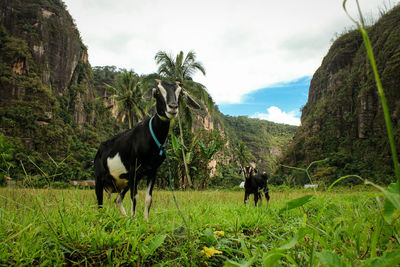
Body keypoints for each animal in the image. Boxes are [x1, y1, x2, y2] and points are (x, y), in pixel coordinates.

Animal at [94, 80, 200, 222]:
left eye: (180, 93)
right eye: (158, 92)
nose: (173, 107)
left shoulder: (152, 171)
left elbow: (148, 199)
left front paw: (146, 221)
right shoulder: (133, 170)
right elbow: (135, 197)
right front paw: (134, 220)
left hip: (125, 181)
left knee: (118, 199)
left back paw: (125, 217)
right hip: (99, 178)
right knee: (100, 203)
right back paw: (102, 219)